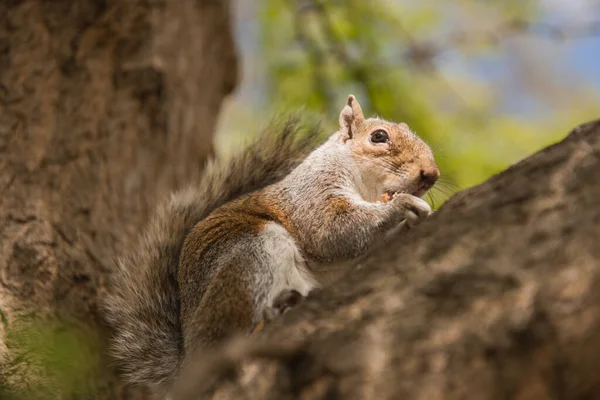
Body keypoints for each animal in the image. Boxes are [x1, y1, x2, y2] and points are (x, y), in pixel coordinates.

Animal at [104, 95, 440, 396]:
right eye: (379, 136)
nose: (431, 174)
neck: (368, 189)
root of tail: (188, 360)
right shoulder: (312, 197)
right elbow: (334, 232)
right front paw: (402, 206)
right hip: (254, 257)